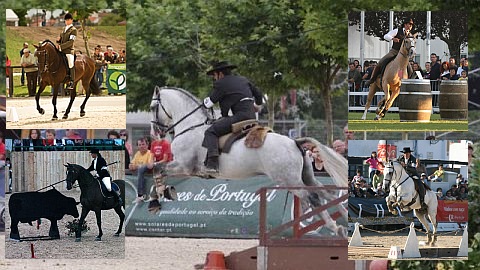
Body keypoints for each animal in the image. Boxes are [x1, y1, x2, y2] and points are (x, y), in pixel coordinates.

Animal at [150, 86, 348, 236]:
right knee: (325, 193)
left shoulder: (183, 166)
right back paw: (344, 220)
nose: (154, 133)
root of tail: (294, 141)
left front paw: (159, 197)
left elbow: (156, 170)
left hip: (289, 180)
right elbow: (157, 171)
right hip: (306, 176)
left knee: (313, 197)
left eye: (152, 107)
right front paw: (162, 194)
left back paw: (335, 227)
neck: (191, 127)